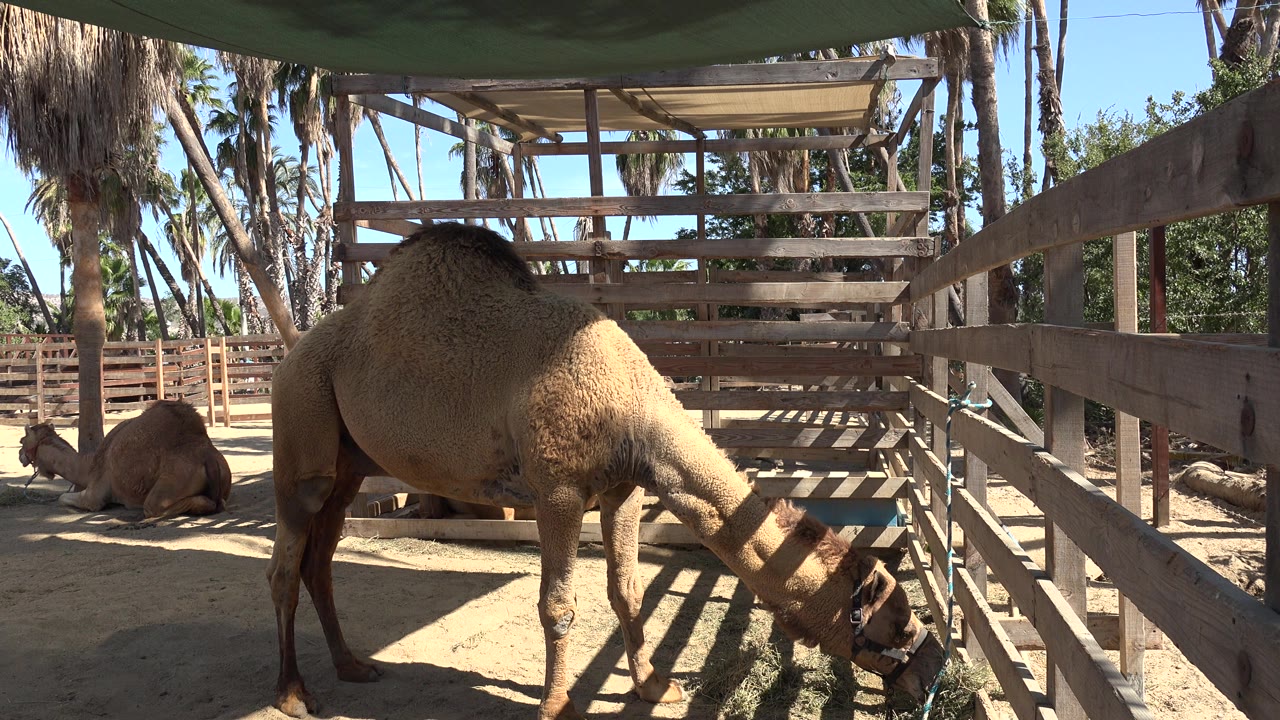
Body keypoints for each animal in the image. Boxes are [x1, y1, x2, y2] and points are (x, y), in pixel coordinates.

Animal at [19, 400, 232, 519]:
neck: (89, 466)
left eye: (22, 440)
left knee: (153, 507)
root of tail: (208, 457)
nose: (20, 456)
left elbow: (63, 498)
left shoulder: (95, 495)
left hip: (174, 481)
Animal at [268, 223, 944, 719]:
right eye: (899, 617)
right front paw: (559, 704)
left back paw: (354, 666)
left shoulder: (622, 489)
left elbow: (629, 591)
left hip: (350, 464)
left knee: (320, 561)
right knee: (285, 567)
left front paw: (653, 687)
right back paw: (294, 694)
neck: (626, 401)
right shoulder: (558, 490)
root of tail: (291, 352)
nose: (933, 666)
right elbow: (558, 604)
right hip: (301, 429)